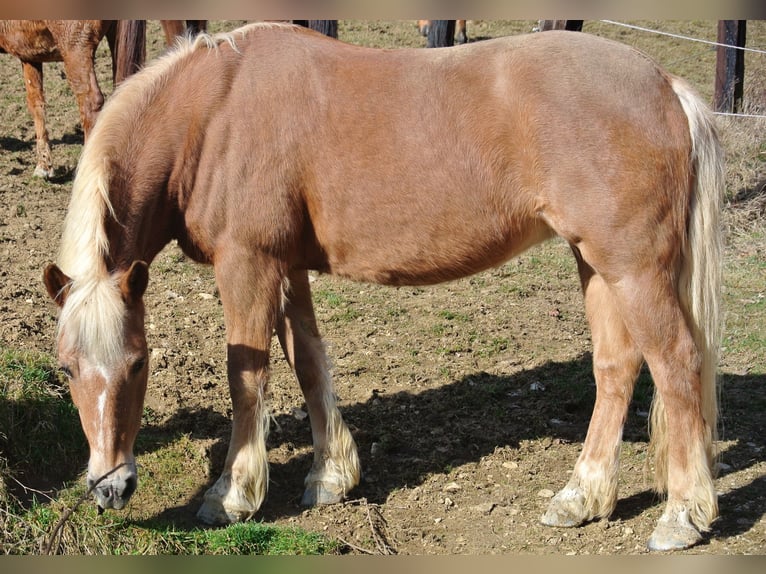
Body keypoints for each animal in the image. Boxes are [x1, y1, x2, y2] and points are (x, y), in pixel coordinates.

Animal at [42, 23, 728, 552]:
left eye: (138, 364)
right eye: (67, 368)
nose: (109, 487)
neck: (212, 113)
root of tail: (666, 86)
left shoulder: (248, 265)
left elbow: (247, 378)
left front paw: (233, 494)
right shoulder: (287, 268)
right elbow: (308, 362)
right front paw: (331, 476)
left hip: (634, 268)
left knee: (676, 364)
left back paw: (682, 516)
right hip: (597, 263)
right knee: (616, 368)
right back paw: (581, 498)